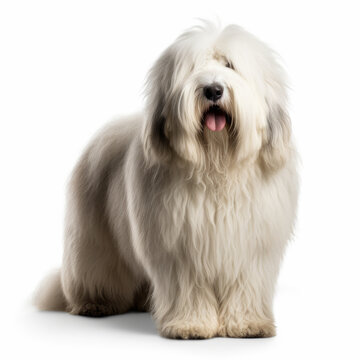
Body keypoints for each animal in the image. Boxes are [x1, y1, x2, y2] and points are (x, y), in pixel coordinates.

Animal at [34, 21, 298, 338]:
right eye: (194, 68)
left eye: (230, 65)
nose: (213, 90)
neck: (217, 165)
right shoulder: (181, 250)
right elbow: (190, 287)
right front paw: (191, 324)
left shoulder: (251, 249)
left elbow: (244, 287)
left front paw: (248, 324)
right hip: (93, 236)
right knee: (94, 268)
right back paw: (95, 303)